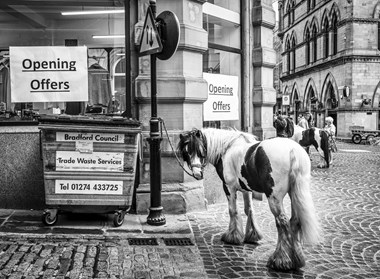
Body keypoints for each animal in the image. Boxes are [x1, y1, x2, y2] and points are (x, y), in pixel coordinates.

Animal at [178, 129, 320, 272]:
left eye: (200, 150)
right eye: (186, 152)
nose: (197, 174)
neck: (227, 148)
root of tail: (292, 150)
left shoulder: (229, 187)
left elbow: (233, 211)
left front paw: (232, 236)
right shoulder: (246, 189)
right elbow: (249, 210)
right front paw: (252, 235)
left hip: (274, 197)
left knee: (282, 222)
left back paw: (281, 260)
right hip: (294, 193)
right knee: (295, 221)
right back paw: (296, 259)